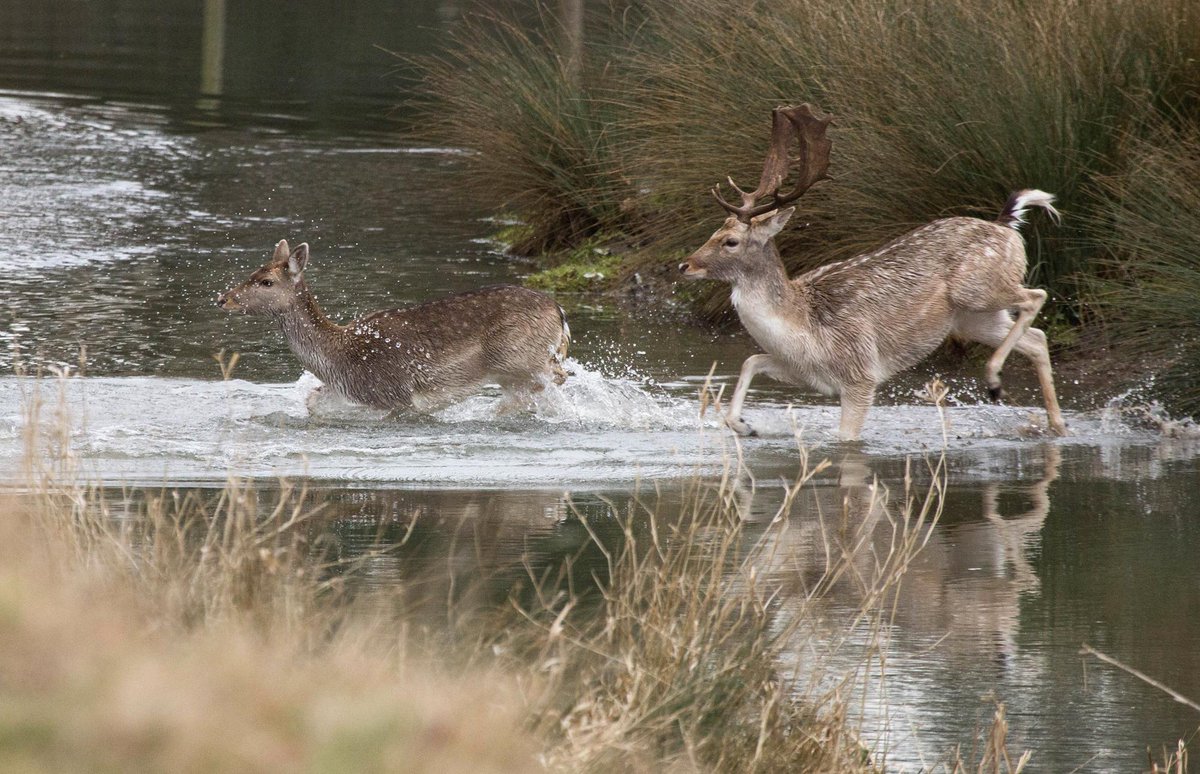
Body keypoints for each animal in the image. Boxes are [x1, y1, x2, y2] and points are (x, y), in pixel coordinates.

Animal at [217, 239, 570, 413]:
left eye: (266, 281)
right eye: (251, 272)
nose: (223, 298)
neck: (338, 361)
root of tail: (560, 312)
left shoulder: (393, 393)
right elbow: (313, 400)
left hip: (519, 357)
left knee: (557, 376)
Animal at [679, 104, 1067, 441]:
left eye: (730, 241)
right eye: (714, 231)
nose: (686, 265)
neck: (803, 327)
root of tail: (1006, 226)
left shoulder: (860, 375)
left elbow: (846, 440)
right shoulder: (804, 372)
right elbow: (751, 360)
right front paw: (745, 425)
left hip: (980, 288)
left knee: (1037, 296)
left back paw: (994, 382)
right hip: (973, 318)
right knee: (1037, 339)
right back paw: (1056, 425)